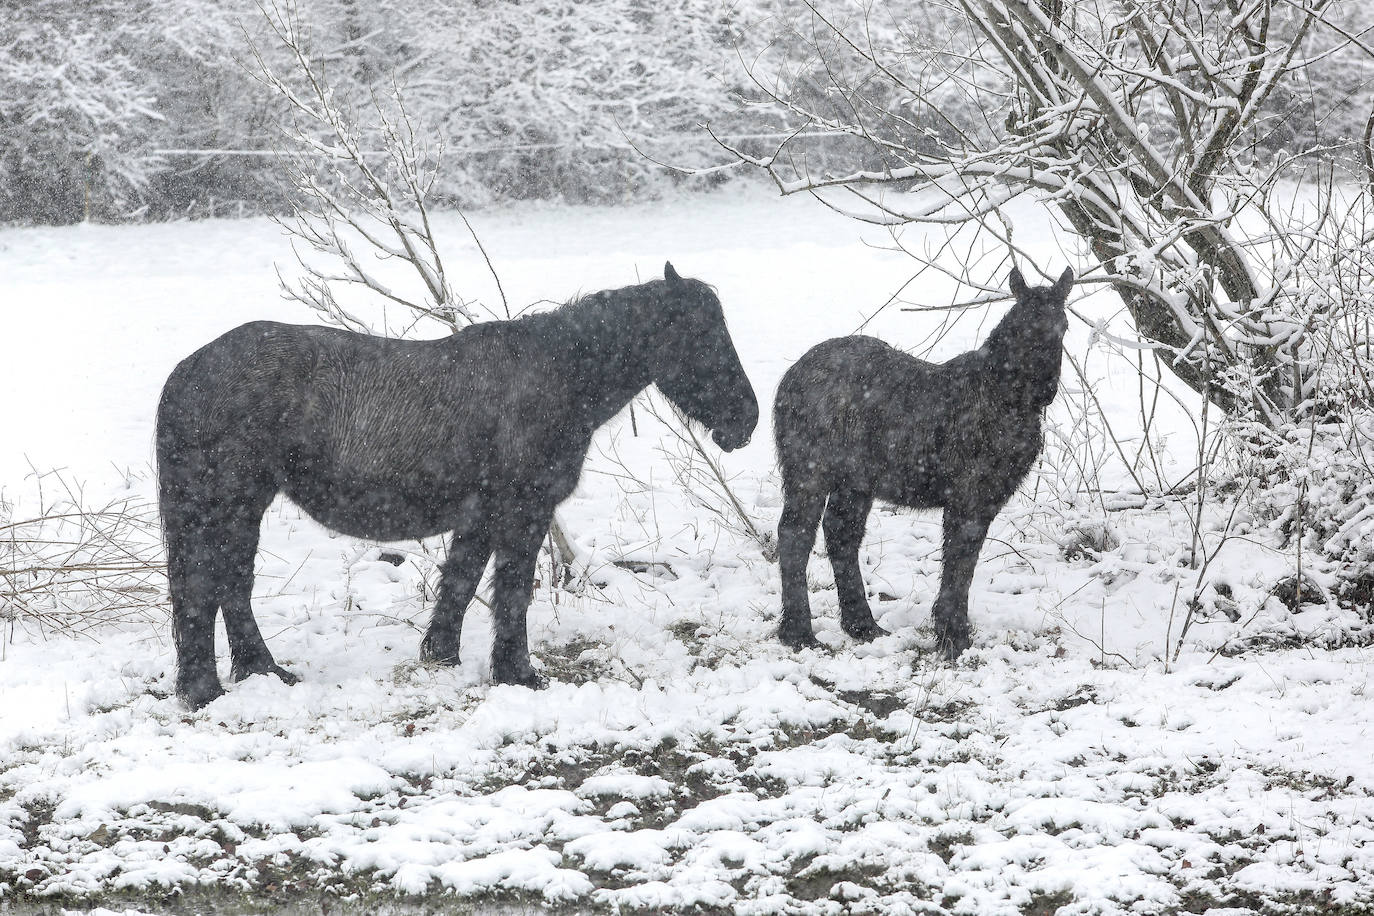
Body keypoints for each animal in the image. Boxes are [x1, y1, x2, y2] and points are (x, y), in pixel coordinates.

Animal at [163, 263, 763, 708]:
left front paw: (441, 657)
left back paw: (260, 672)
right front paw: (517, 673)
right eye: (702, 336)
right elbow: (512, 592)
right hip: (228, 505)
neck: (558, 373)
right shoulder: (523, 511)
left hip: (240, 509)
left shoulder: (480, 516)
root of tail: (186, 373)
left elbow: (460, 580)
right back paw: (206, 690)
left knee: (230, 586)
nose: (746, 420)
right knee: (205, 587)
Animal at [774, 265, 1071, 659]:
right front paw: (952, 635)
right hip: (809, 473)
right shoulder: (969, 496)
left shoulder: (986, 499)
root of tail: (788, 379)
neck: (1002, 395)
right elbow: (959, 560)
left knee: (841, 535)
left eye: (1063, 326)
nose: (1044, 389)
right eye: (1020, 326)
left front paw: (950, 631)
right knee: (795, 535)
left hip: (855, 483)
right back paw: (798, 633)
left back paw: (862, 625)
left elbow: (964, 562)